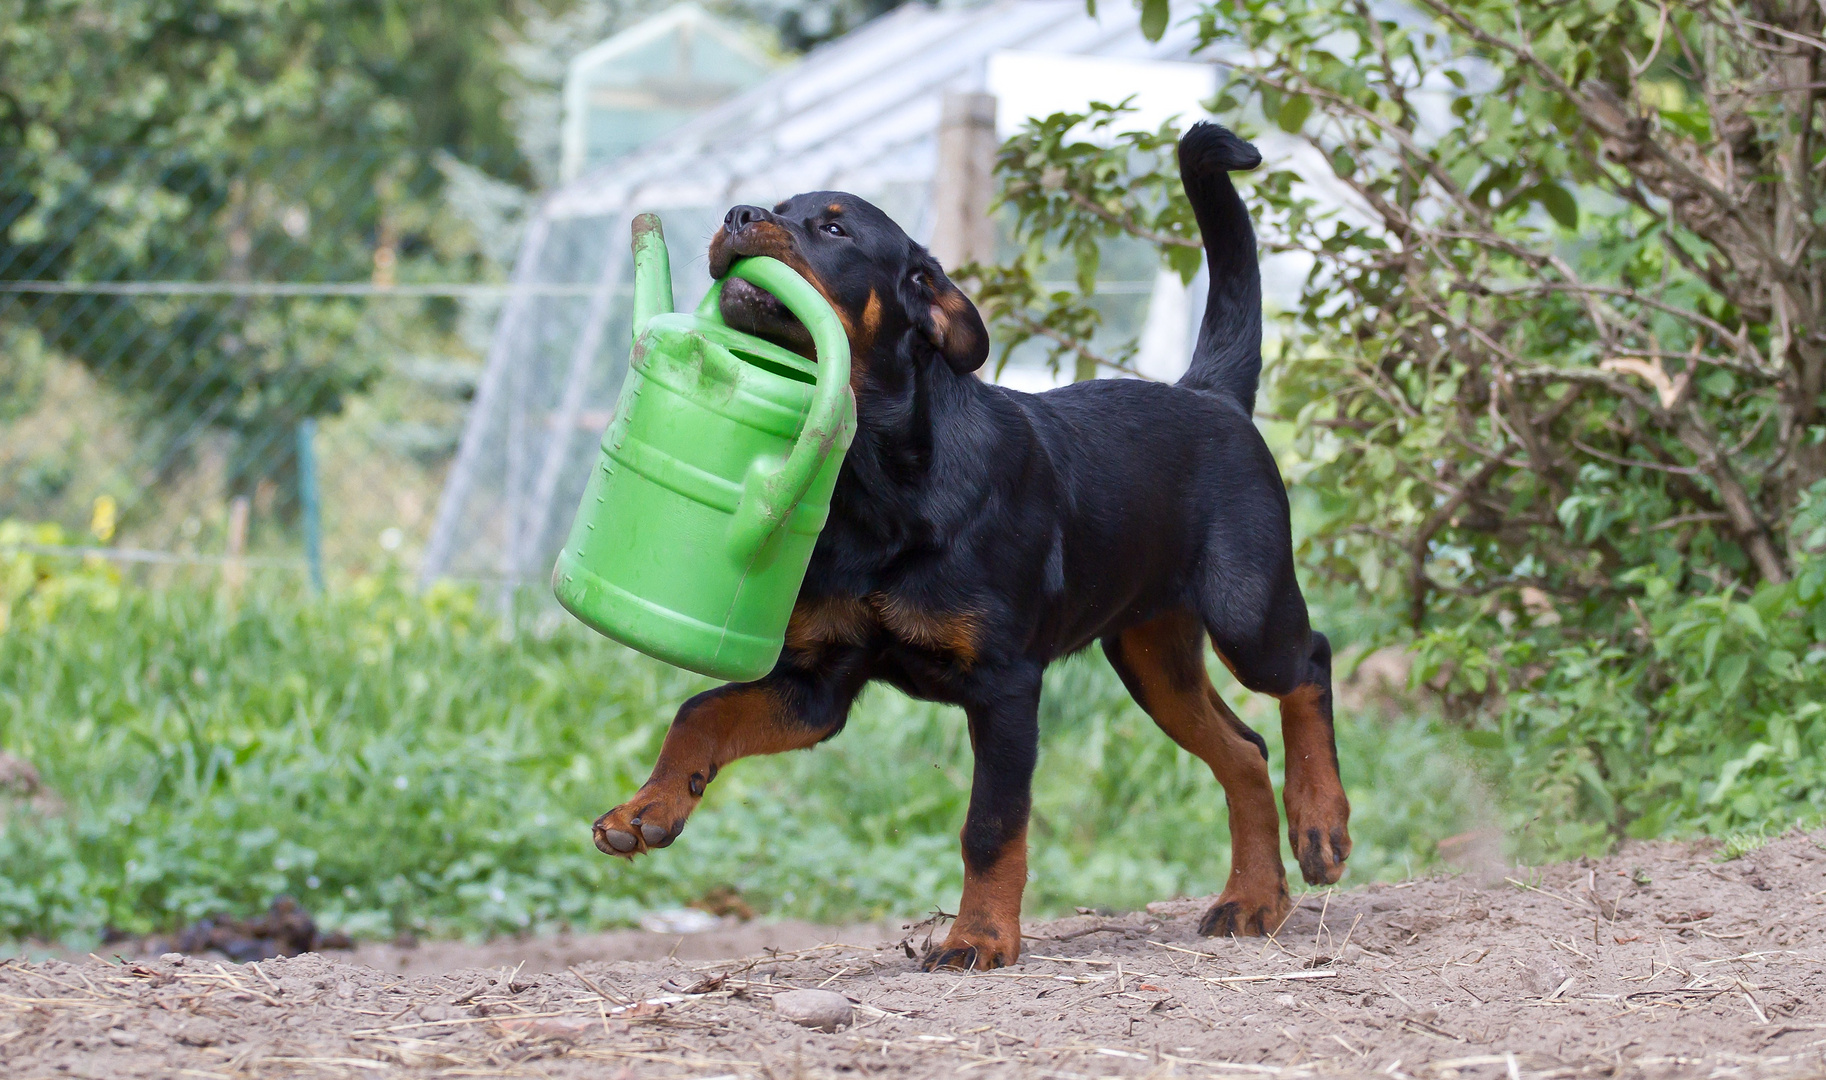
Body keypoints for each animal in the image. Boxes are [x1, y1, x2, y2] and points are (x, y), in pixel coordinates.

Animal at [591, 124, 1351, 972]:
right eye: (776, 206)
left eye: (834, 230)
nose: (737, 213)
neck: (874, 483)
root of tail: (1210, 393)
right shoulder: (821, 682)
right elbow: (702, 711)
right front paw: (647, 808)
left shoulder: (1006, 686)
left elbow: (992, 824)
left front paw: (979, 937)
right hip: (1152, 655)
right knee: (1244, 750)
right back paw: (1254, 898)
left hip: (1246, 611)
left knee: (1309, 663)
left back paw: (1321, 824)